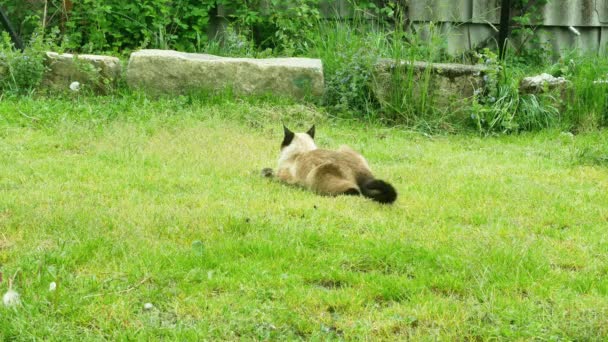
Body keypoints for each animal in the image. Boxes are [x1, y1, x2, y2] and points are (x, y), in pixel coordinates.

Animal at [262, 126, 400, 204]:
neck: (302, 152)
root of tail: (365, 178)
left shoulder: (282, 176)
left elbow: (268, 172)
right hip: (344, 148)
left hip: (316, 174)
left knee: (355, 191)